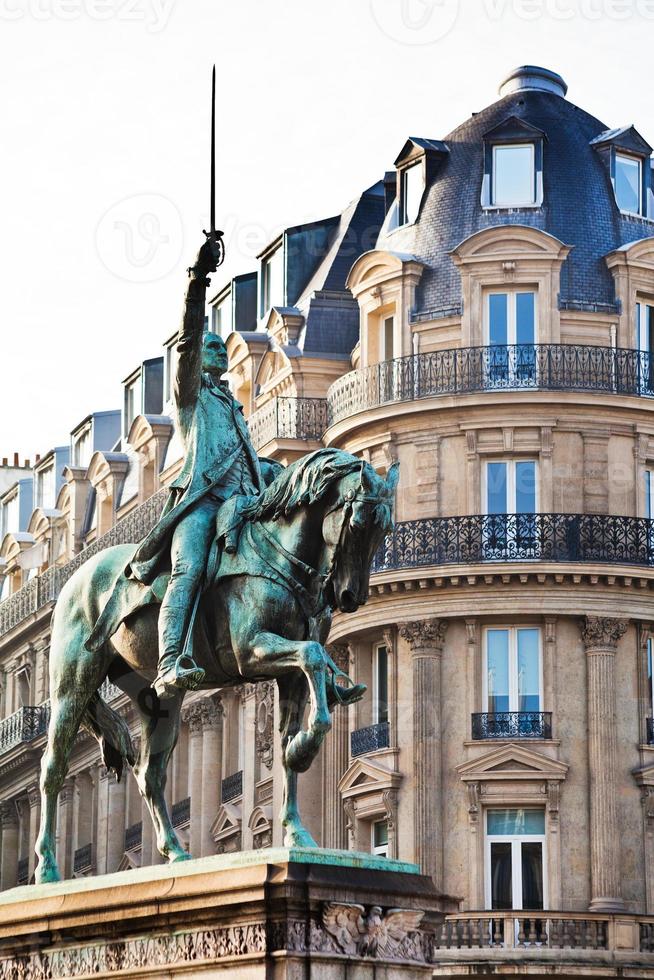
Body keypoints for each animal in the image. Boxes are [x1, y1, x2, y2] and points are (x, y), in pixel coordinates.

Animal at [34, 448, 400, 884]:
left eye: (386, 528)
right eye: (358, 523)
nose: (349, 596)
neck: (278, 555)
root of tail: (76, 579)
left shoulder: (288, 675)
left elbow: (288, 737)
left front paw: (296, 824)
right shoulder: (251, 650)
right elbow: (313, 655)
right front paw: (304, 749)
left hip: (161, 701)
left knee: (149, 773)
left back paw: (175, 852)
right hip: (73, 687)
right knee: (53, 766)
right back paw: (47, 867)